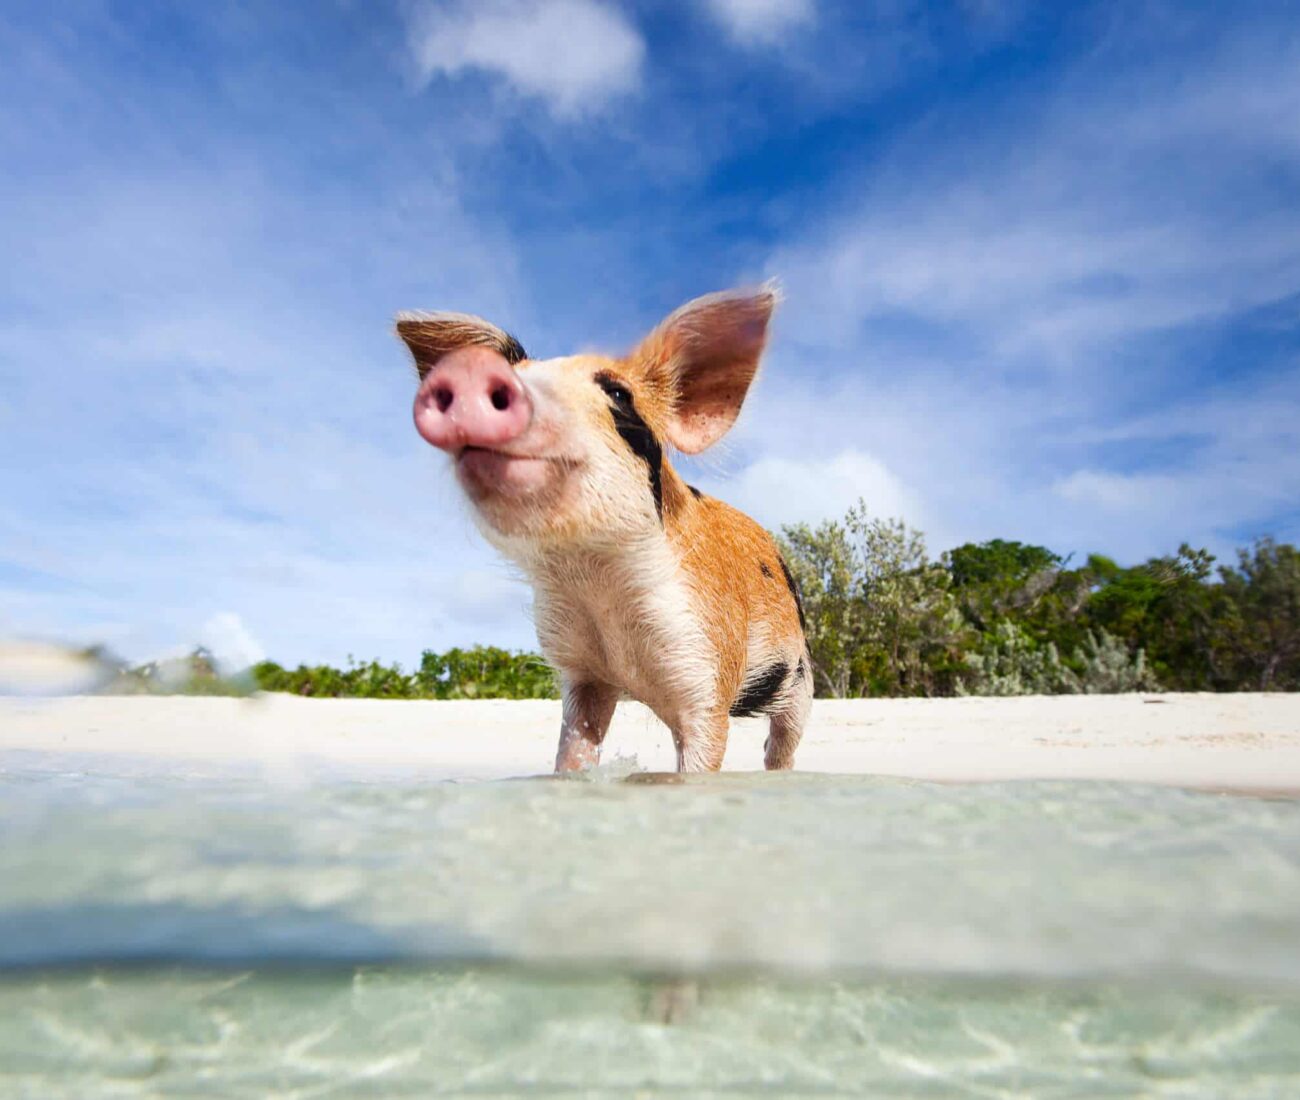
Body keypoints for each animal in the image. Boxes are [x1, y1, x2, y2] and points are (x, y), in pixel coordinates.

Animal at [397, 287, 811, 773]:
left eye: (617, 392)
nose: (470, 370)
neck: (596, 585)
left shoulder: (707, 665)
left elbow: (704, 750)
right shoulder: (582, 674)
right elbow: (575, 747)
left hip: (800, 671)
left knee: (781, 742)